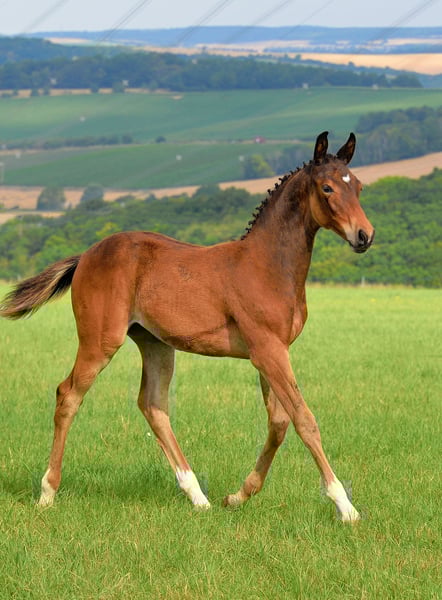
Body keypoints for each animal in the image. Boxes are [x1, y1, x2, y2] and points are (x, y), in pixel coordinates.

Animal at [0, 131, 374, 521]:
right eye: (327, 188)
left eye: (358, 186)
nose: (364, 235)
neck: (267, 265)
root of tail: (86, 255)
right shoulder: (268, 351)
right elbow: (304, 420)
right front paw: (345, 506)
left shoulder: (272, 351)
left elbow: (279, 423)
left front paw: (237, 496)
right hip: (100, 340)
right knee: (69, 395)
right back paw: (47, 492)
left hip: (156, 344)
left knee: (153, 405)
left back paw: (198, 496)